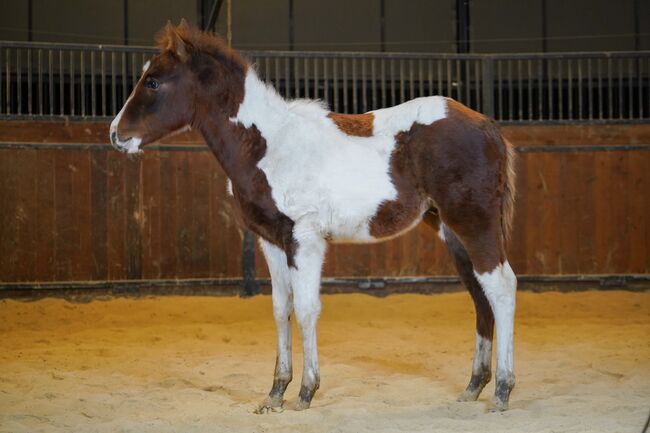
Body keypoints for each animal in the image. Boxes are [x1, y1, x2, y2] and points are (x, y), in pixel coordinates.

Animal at [110, 20, 518, 413]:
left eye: (154, 81)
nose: (116, 134)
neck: (269, 145)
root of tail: (488, 126)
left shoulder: (304, 238)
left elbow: (306, 310)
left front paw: (306, 392)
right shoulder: (272, 241)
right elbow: (281, 310)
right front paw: (275, 394)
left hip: (474, 222)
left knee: (501, 286)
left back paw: (501, 391)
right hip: (452, 231)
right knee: (480, 295)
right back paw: (473, 388)